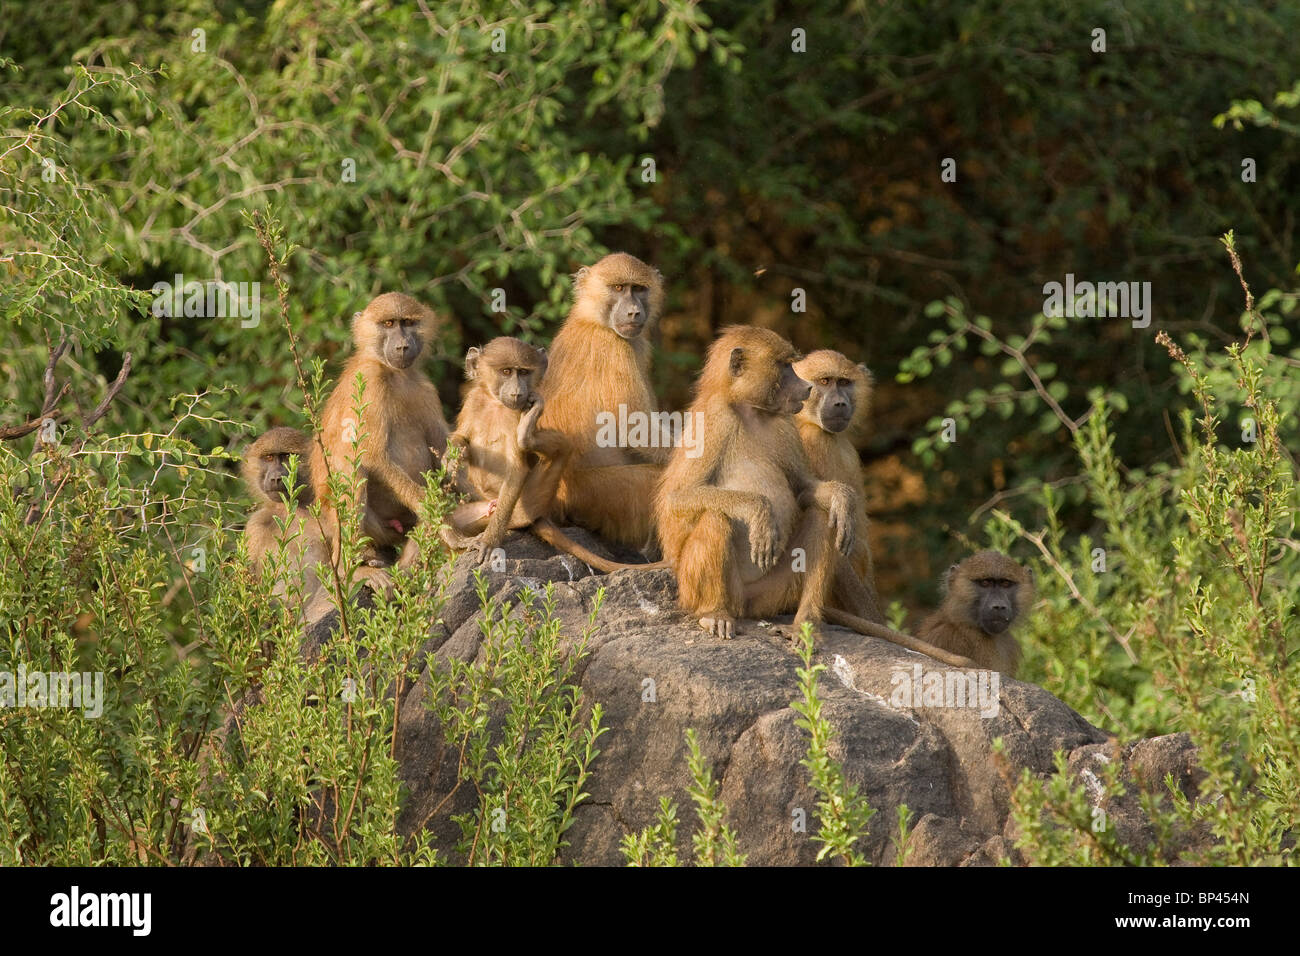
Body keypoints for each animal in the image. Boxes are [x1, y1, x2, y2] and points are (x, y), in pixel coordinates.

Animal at [311, 292, 449, 568]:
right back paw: (358, 558)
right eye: (388, 323)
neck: (393, 373)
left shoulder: (425, 388)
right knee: (352, 467)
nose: (403, 347)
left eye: (407, 322)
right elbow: (372, 457)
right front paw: (437, 514)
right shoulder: (370, 382)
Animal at [444, 337, 665, 573]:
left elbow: (517, 469)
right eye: (506, 371)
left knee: (562, 448)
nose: (517, 392)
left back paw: (527, 438)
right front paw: (452, 455)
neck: (495, 403)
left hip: (532, 501)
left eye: (523, 372)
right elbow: (462, 438)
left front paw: (489, 541)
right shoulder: (473, 401)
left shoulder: (515, 415)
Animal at [538, 253, 669, 549]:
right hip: (600, 495)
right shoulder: (614, 349)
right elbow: (637, 429)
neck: (593, 320)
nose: (633, 312)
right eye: (619, 288)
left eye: (639, 288)